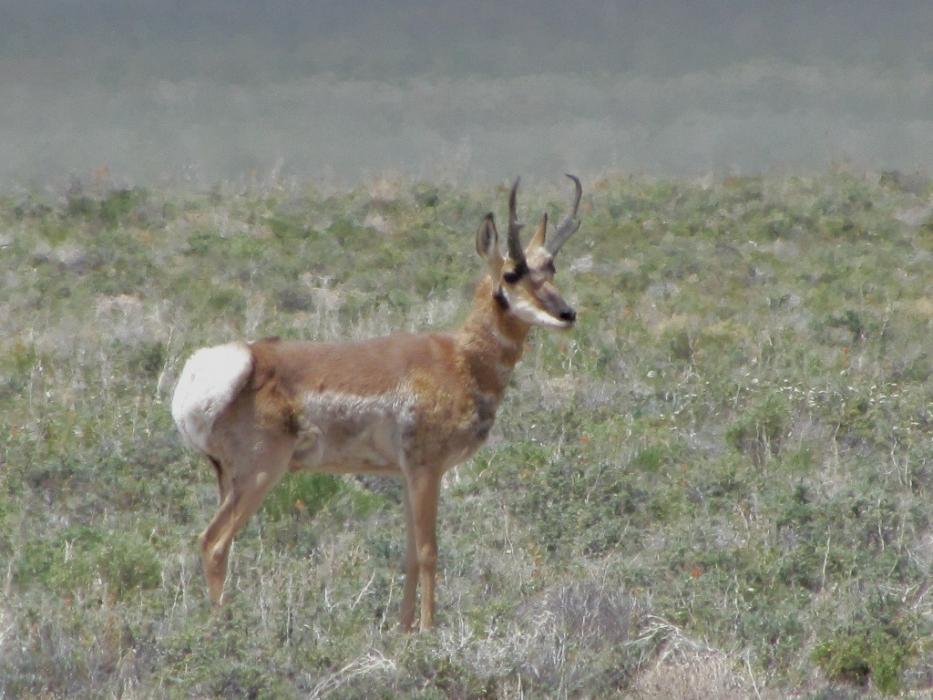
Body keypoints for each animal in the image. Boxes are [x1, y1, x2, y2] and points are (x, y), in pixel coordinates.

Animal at [171, 176, 584, 631]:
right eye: (511, 273)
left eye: (551, 268)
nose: (567, 313)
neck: (460, 359)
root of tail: (236, 360)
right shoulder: (426, 470)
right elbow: (429, 552)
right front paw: (429, 631)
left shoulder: (405, 476)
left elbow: (409, 553)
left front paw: (403, 631)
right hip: (259, 474)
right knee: (213, 543)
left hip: (228, 480)